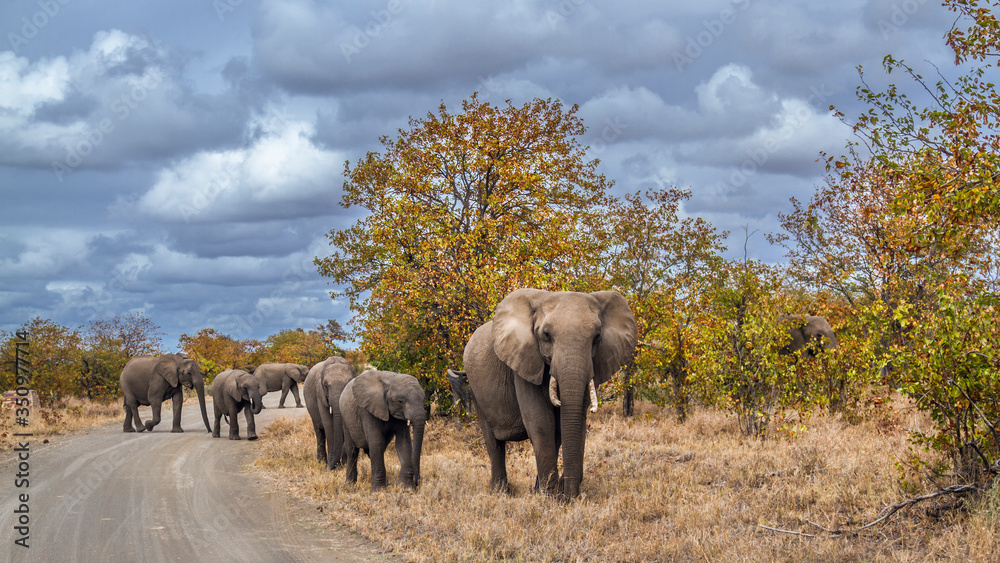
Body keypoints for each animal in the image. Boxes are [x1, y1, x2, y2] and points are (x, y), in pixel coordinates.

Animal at [464, 289, 637, 499]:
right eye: (546, 334)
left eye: (597, 337)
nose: (569, 496)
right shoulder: (524, 361)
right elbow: (541, 422)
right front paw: (548, 497)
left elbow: (568, 424)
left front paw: (549, 493)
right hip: (474, 387)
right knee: (493, 442)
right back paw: (500, 492)